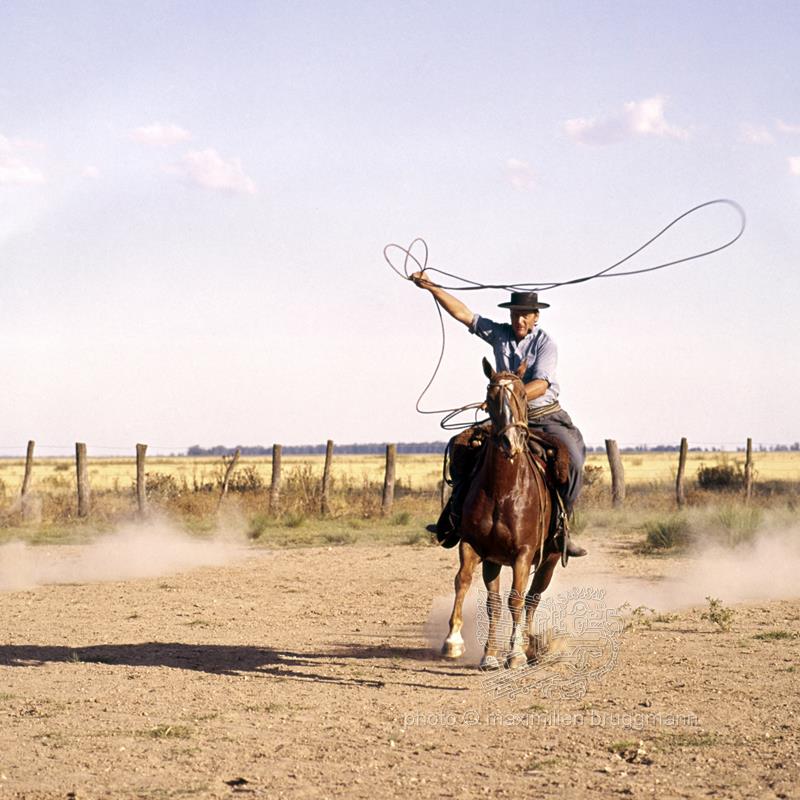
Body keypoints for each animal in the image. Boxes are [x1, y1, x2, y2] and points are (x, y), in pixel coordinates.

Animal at [440, 358, 560, 668]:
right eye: (490, 397)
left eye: (522, 395)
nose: (511, 441)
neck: (503, 491)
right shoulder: (473, 546)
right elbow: (464, 583)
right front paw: (455, 643)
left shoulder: (523, 554)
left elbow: (516, 599)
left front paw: (515, 653)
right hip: (494, 562)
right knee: (495, 602)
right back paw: (492, 653)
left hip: (550, 559)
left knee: (532, 599)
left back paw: (529, 647)